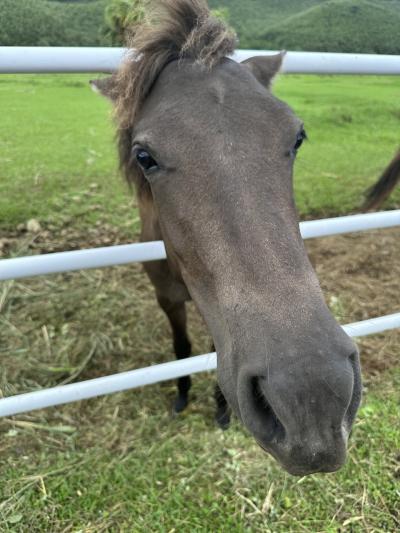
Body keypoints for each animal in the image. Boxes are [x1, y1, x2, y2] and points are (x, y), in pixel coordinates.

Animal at [91, 0, 362, 474]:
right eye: (144, 156)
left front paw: (220, 408)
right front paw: (182, 397)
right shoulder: (167, 297)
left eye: (298, 137)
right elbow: (182, 346)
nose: (312, 396)